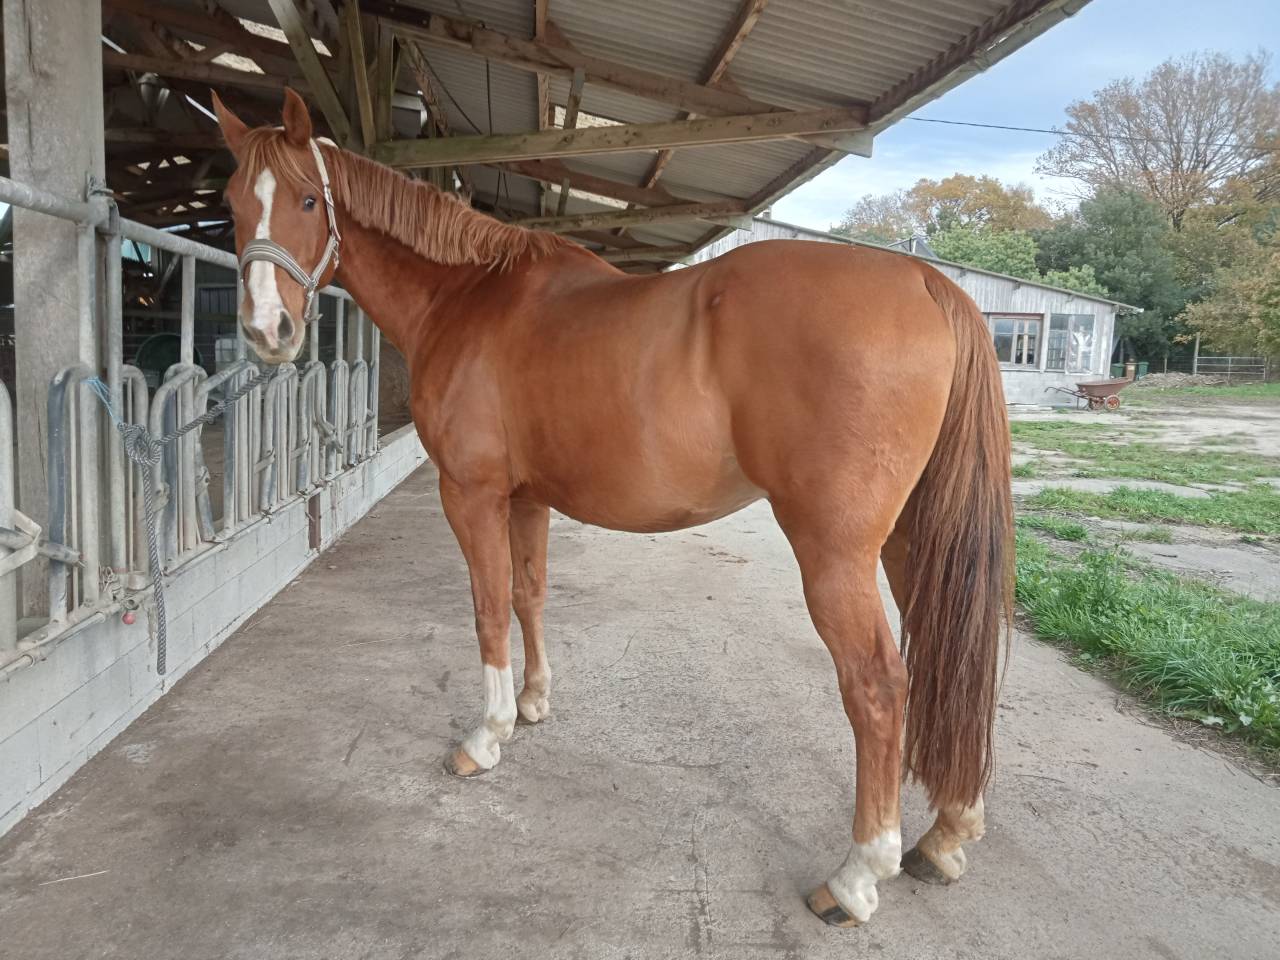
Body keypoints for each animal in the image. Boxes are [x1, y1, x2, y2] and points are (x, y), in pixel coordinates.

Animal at [212, 89, 1013, 928]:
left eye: (307, 198)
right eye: (232, 202)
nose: (267, 331)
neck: (466, 298)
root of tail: (925, 282)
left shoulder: (471, 493)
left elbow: (488, 608)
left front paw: (486, 737)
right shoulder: (526, 498)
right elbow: (529, 595)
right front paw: (533, 703)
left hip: (835, 552)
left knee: (879, 686)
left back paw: (857, 877)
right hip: (911, 539)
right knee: (942, 656)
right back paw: (947, 832)